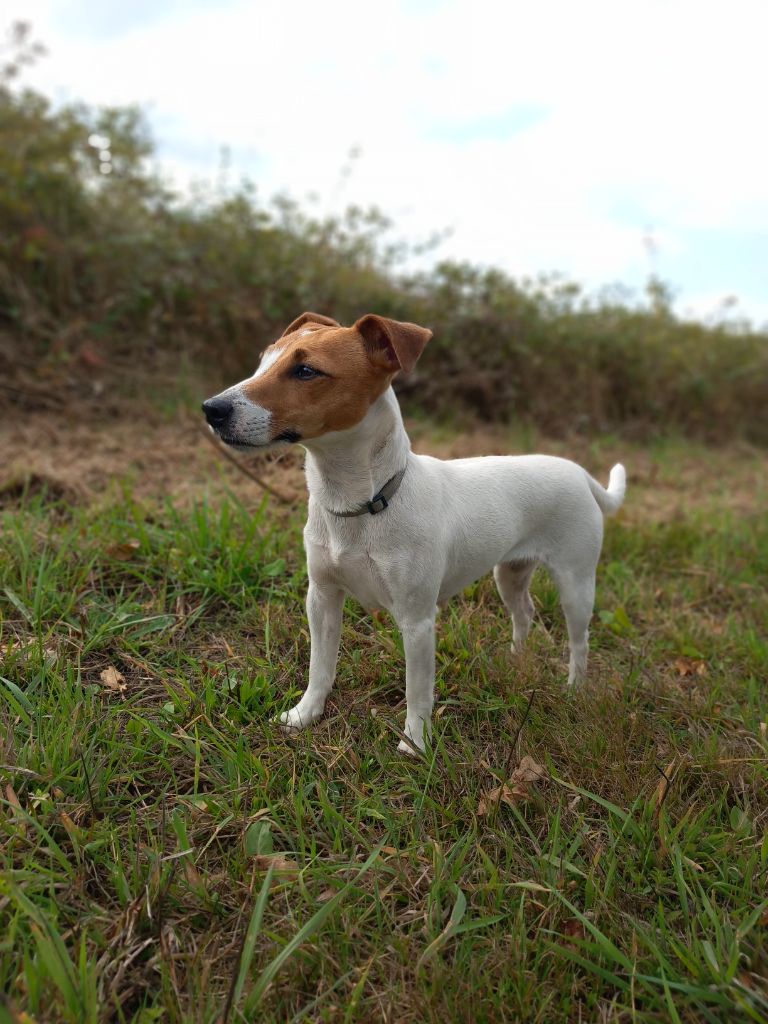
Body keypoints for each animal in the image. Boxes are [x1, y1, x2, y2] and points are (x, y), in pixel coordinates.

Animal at [204, 311, 626, 753]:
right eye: (263, 362)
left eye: (305, 370)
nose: (211, 409)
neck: (362, 506)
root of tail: (579, 473)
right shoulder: (321, 597)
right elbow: (320, 666)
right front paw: (305, 714)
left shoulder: (418, 619)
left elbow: (417, 689)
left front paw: (416, 744)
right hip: (509, 572)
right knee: (523, 612)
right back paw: (516, 658)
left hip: (575, 583)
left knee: (579, 639)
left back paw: (574, 688)